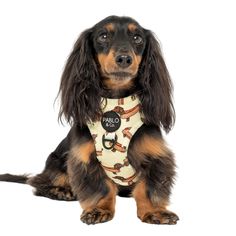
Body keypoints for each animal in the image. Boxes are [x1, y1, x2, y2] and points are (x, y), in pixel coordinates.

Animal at [0, 15, 178, 225]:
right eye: (103, 36)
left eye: (137, 38)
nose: (124, 58)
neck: (116, 104)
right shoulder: (84, 158)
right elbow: (102, 187)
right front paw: (99, 209)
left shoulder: (155, 157)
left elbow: (149, 188)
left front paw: (154, 212)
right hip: (56, 161)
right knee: (39, 183)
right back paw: (61, 191)